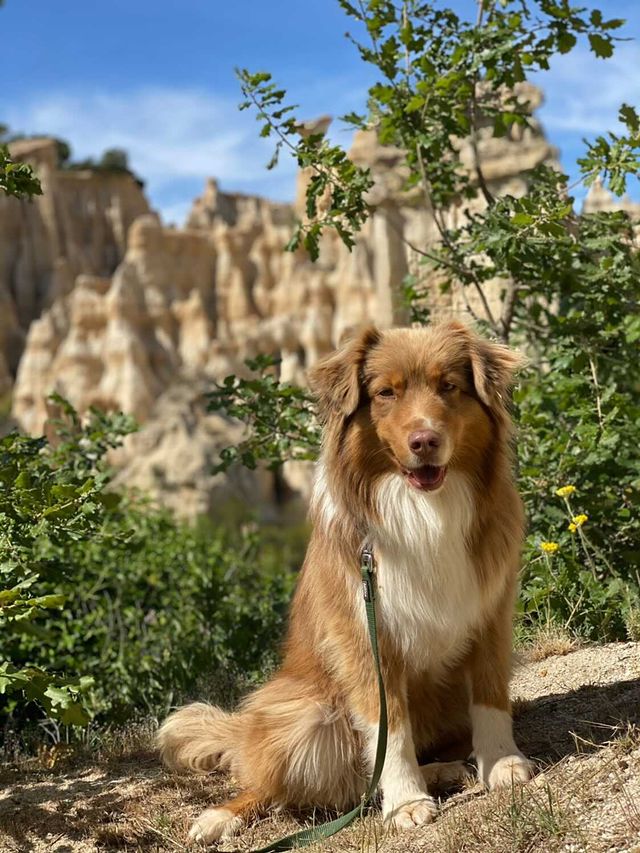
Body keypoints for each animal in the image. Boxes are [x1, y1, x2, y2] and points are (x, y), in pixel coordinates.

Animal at [158, 322, 532, 844]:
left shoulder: (491, 611)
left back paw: (444, 769)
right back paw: (220, 817)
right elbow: (389, 729)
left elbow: (491, 695)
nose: (424, 440)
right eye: (386, 393)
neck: (423, 510)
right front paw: (406, 802)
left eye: (449, 387)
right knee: (297, 785)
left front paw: (501, 763)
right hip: (306, 716)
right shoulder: (364, 636)